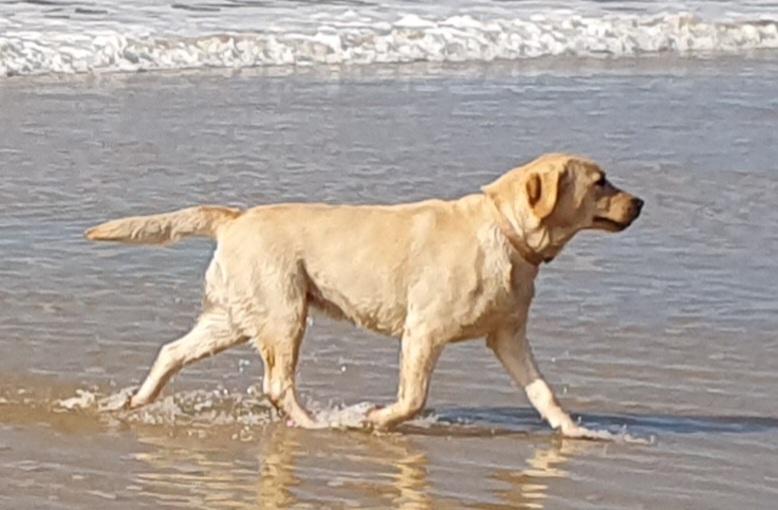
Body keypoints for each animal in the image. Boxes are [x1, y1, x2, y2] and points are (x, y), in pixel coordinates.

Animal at [86, 153, 644, 436]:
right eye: (601, 181)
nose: (640, 202)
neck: (506, 233)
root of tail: (234, 218)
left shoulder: (508, 336)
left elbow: (543, 391)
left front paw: (574, 432)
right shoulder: (423, 332)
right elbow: (414, 398)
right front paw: (376, 417)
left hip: (234, 318)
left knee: (172, 351)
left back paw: (135, 402)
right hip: (285, 312)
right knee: (276, 383)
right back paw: (316, 424)